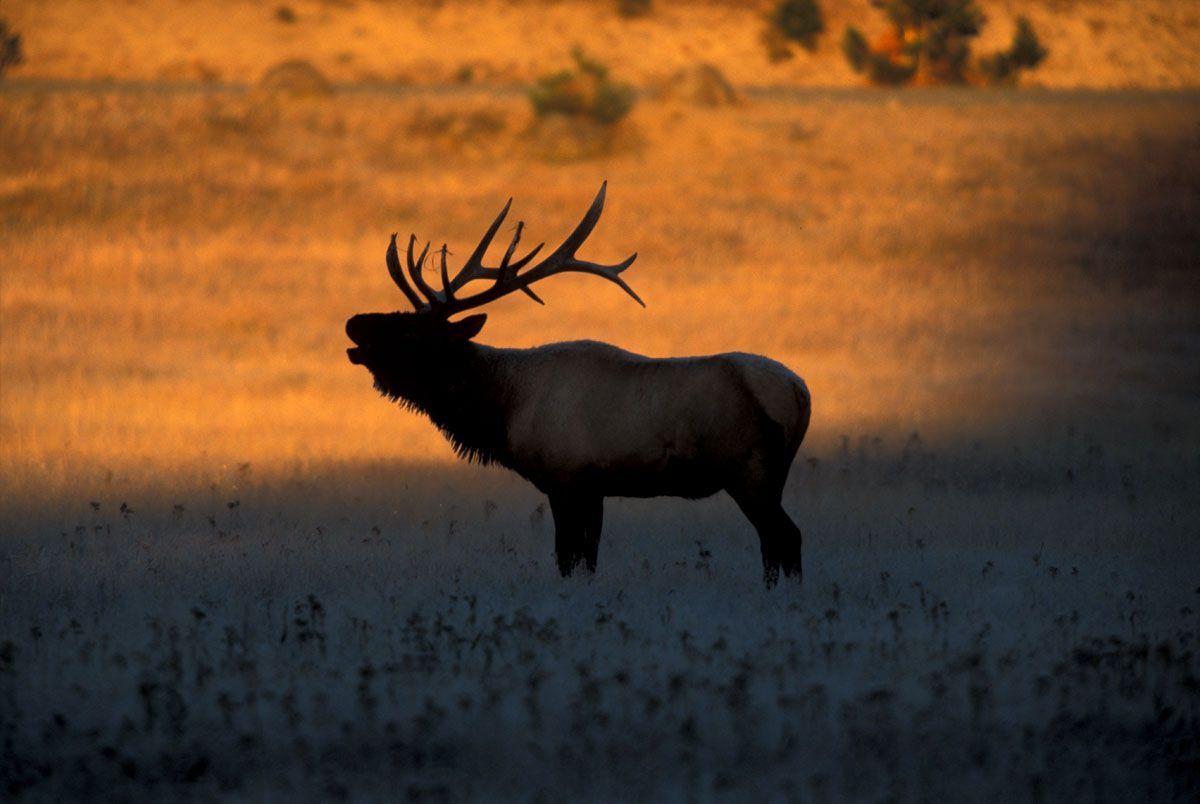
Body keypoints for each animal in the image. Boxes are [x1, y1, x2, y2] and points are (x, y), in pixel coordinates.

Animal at [345, 183, 811, 585]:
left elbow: (567, 559)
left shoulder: (564, 477)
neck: (502, 410)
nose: (353, 322)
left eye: (410, 331)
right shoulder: (594, 488)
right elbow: (589, 560)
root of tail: (800, 393)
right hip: (774, 474)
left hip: (750, 470)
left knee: (785, 537)